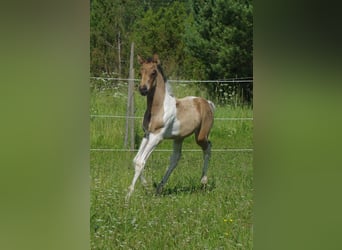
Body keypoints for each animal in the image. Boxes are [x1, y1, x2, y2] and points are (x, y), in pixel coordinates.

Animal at [125, 54, 215, 201]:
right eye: (140, 72)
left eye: (153, 72)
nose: (143, 89)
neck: (158, 108)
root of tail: (207, 102)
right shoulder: (147, 135)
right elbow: (136, 160)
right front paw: (146, 186)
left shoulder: (157, 137)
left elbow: (140, 161)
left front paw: (128, 195)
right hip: (179, 138)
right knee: (175, 158)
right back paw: (159, 188)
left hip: (200, 136)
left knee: (208, 148)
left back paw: (203, 182)